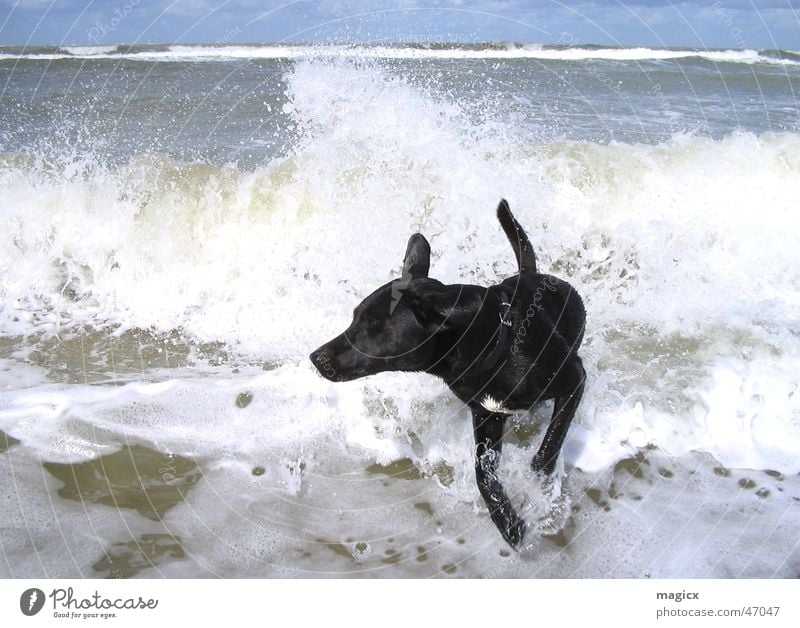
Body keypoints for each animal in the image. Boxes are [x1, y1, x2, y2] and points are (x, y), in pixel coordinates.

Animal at [312, 201, 588, 548]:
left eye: (373, 326)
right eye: (354, 317)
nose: (316, 358)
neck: (493, 348)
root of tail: (531, 273)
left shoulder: (574, 379)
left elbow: (549, 446)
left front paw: (539, 485)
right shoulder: (486, 416)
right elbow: (482, 474)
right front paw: (506, 520)